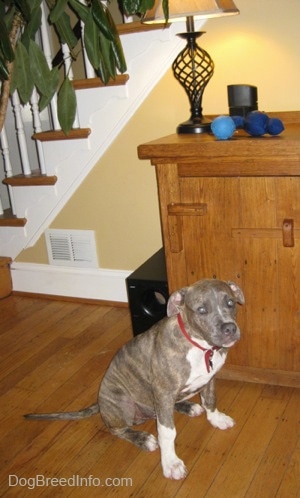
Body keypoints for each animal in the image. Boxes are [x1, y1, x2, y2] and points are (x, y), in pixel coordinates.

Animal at [25, 280, 244, 478]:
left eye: (230, 302)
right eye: (201, 310)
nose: (229, 329)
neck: (200, 346)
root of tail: (100, 402)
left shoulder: (208, 379)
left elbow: (210, 400)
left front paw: (216, 419)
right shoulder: (164, 391)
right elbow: (167, 432)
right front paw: (171, 463)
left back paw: (187, 406)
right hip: (124, 403)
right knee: (117, 429)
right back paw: (142, 438)